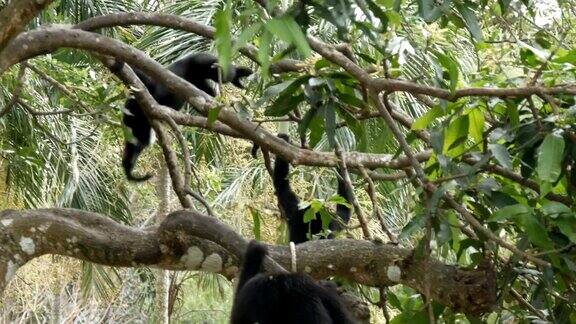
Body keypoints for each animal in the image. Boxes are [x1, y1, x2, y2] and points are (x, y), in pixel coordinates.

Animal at [121, 52, 252, 181]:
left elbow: (143, 79)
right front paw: (130, 170)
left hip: (202, 61)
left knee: (224, 74)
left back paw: (240, 73)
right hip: (199, 77)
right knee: (209, 91)